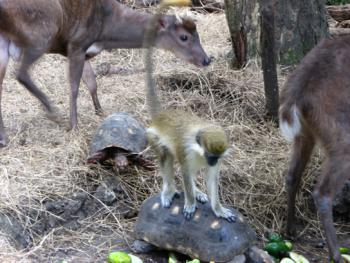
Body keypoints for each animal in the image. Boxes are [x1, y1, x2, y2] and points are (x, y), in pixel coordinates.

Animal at [0, 0, 211, 148]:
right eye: (183, 37)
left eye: (198, 35)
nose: (206, 60)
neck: (107, 30)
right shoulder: (76, 44)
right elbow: (74, 87)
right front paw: (74, 127)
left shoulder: (85, 51)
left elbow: (92, 82)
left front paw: (100, 111)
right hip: (41, 32)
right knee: (20, 73)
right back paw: (52, 112)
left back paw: (4, 138)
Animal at [280, 34, 350, 262]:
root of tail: (297, 98)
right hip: (342, 138)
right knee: (322, 193)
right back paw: (336, 255)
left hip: (305, 133)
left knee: (292, 175)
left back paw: (290, 231)